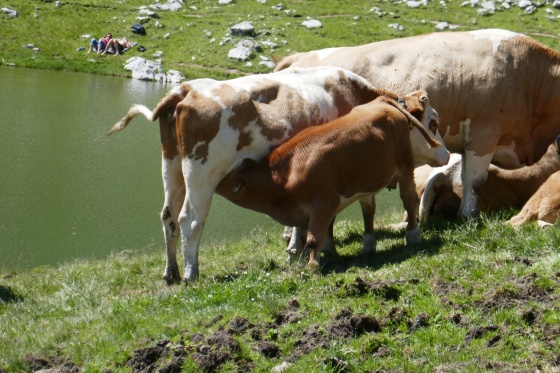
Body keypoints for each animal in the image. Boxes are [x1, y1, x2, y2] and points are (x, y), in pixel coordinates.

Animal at [214, 94, 450, 266]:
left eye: (228, 178)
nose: (215, 182)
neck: (287, 170)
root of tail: (383, 101)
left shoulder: (323, 203)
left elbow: (313, 239)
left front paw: (312, 267)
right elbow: (314, 234)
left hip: (404, 168)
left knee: (408, 200)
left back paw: (412, 235)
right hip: (367, 179)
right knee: (368, 210)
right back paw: (369, 245)